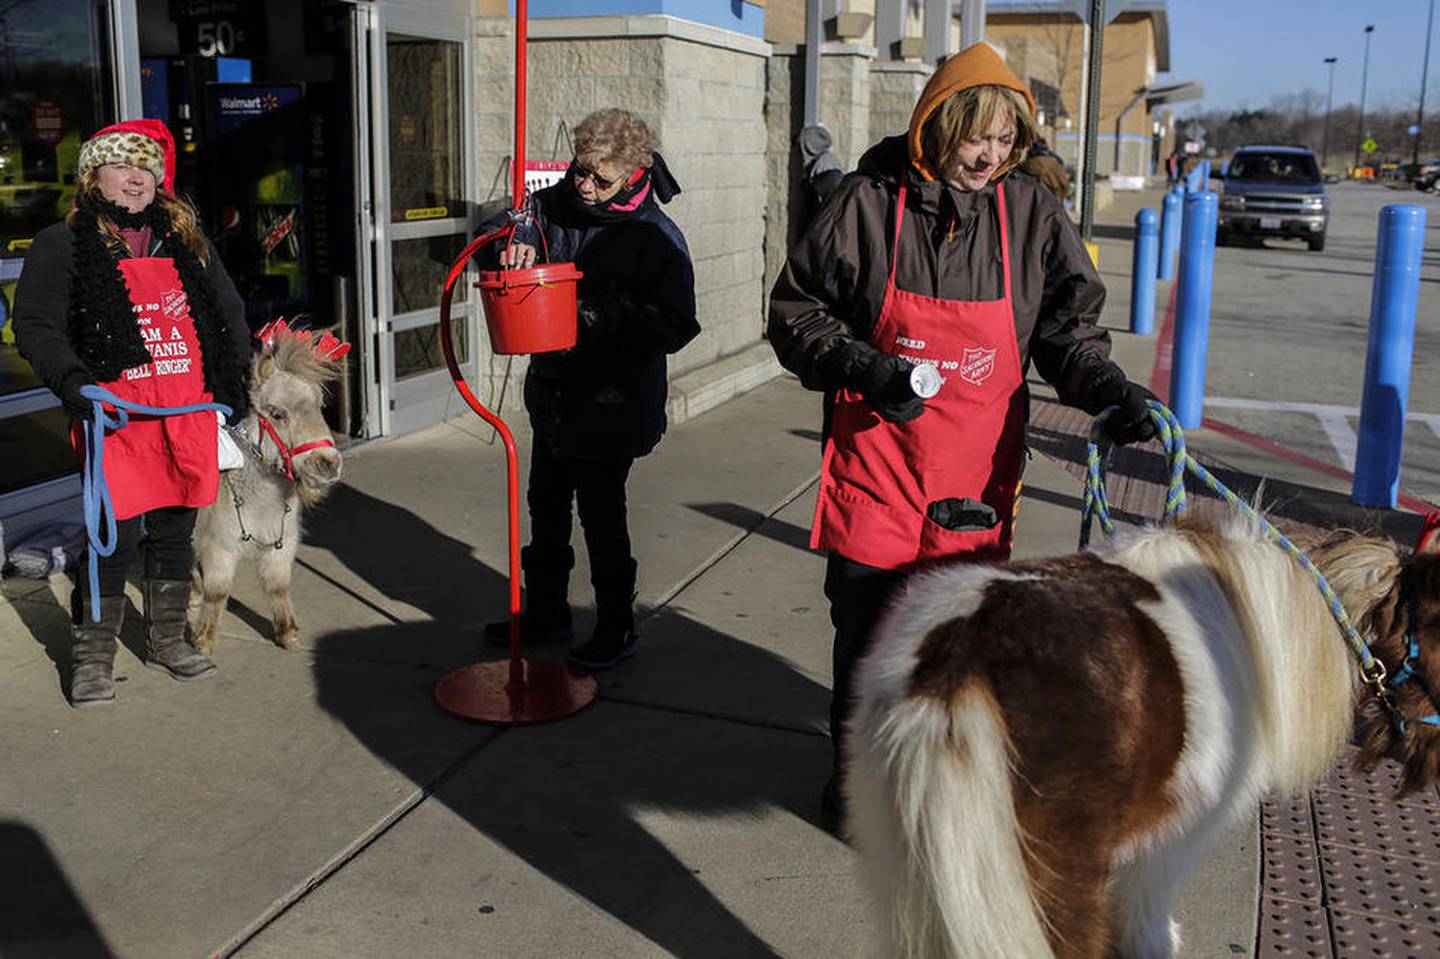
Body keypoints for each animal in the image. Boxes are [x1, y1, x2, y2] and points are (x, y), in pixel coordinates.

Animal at [188, 321, 345, 650]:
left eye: (320, 407)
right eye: (277, 413)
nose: (327, 464)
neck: (260, 503)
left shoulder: (282, 544)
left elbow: (278, 586)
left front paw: (287, 633)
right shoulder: (219, 547)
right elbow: (217, 592)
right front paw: (203, 640)